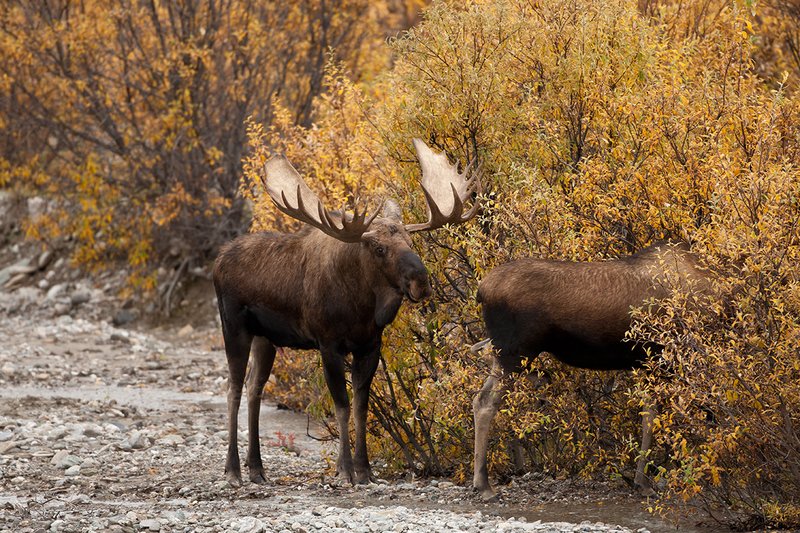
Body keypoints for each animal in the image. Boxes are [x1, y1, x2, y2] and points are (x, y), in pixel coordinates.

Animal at [213, 138, 480, 487]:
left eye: (411, 241)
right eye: (379, 248)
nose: (421, 282)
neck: (363, 308)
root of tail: (217, 261)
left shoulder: (370, 345)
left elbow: (361, 406)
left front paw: (364, 470)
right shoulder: (328, 343)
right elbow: (340, 405)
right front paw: (344, 469)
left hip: (265, 338)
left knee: (253, 388)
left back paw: (257, 468)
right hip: (233, 326)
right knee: (233, 388)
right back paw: (232, 469)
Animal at [471, 242, 709, 499]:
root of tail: (481, 290)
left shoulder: (652, 363)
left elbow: (651, 416)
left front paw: (643, 480)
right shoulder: (668, 358)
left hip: (506, 354)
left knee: (480, 389)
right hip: (514, 352)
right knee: (486, 402)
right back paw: (484, 484)